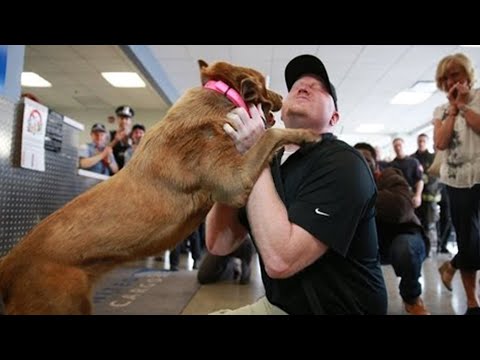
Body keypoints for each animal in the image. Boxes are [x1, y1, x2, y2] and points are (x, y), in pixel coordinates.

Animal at [0, 60, 322, 314]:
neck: (219, 97)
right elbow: (271, 135)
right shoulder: (235, 180)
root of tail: (8, 267)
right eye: (265, 86)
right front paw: (306, 134)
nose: (283, 95)